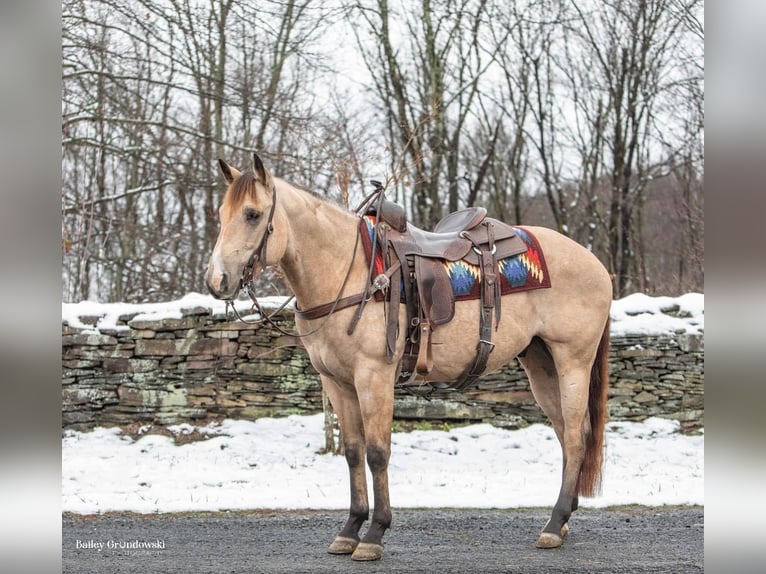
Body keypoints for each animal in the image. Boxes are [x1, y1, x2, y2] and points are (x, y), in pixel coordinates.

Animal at [204, 153, 612, 564]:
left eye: (253, 214)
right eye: (222, 214)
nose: (217, 280)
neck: (347, 272)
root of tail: (593, 262)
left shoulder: (374, 376)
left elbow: (377, 453)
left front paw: (374, 534)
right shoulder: (336, 383)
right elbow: (353, 452)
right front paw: (350, 529)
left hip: (573, 360)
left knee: (575, 435)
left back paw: (553, 525)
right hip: (541, 363)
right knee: (565, 433)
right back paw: (563, 519)